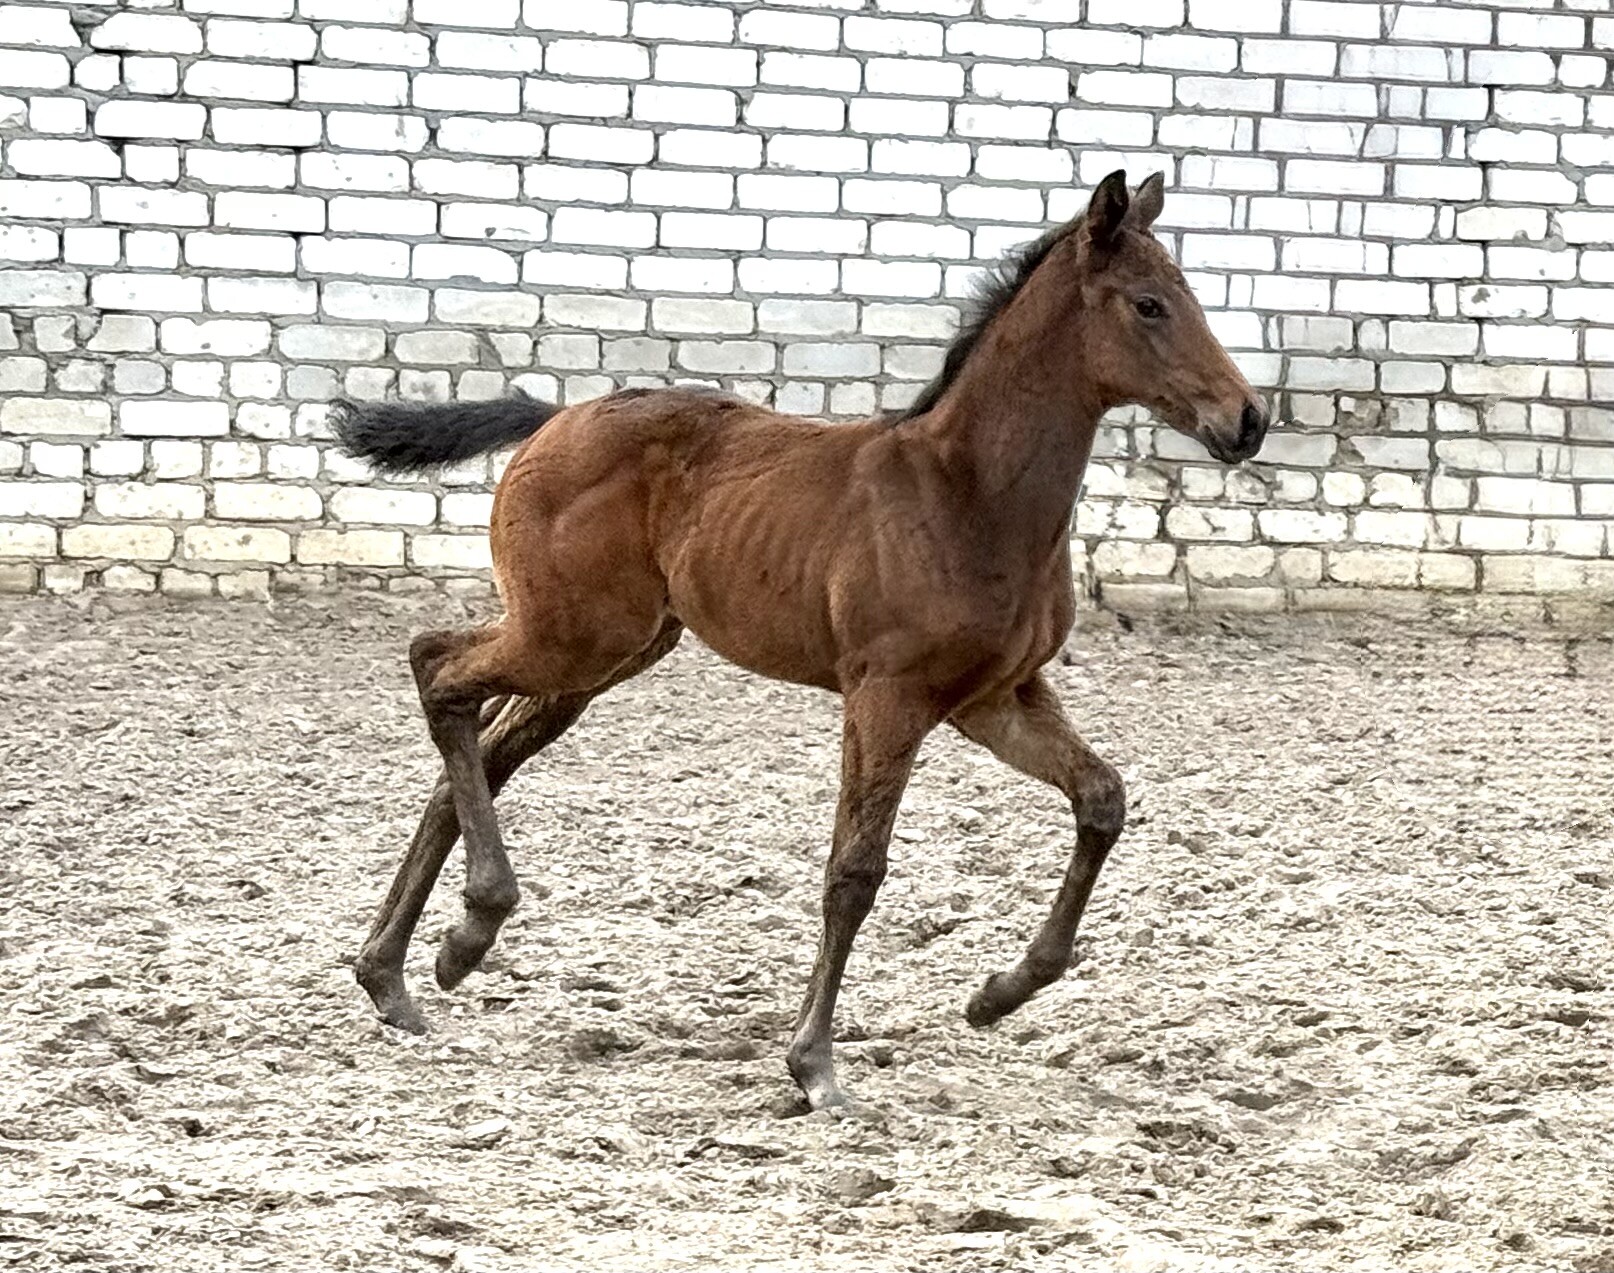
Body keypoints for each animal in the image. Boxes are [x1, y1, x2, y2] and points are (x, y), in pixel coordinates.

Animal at [335, 171, 1269, 1111]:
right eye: (1150, 304)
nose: (1249, 419)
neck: (969, 494)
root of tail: (554, 418)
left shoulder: (994, 698)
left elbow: (1102, 799)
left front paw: (999, 994)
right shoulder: (888, 694)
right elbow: (855, 869)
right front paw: (815, 1064)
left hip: (604, 655)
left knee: (473, 751)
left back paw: (399, 972)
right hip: (570, 636)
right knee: (436, 667)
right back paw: (468, 928)